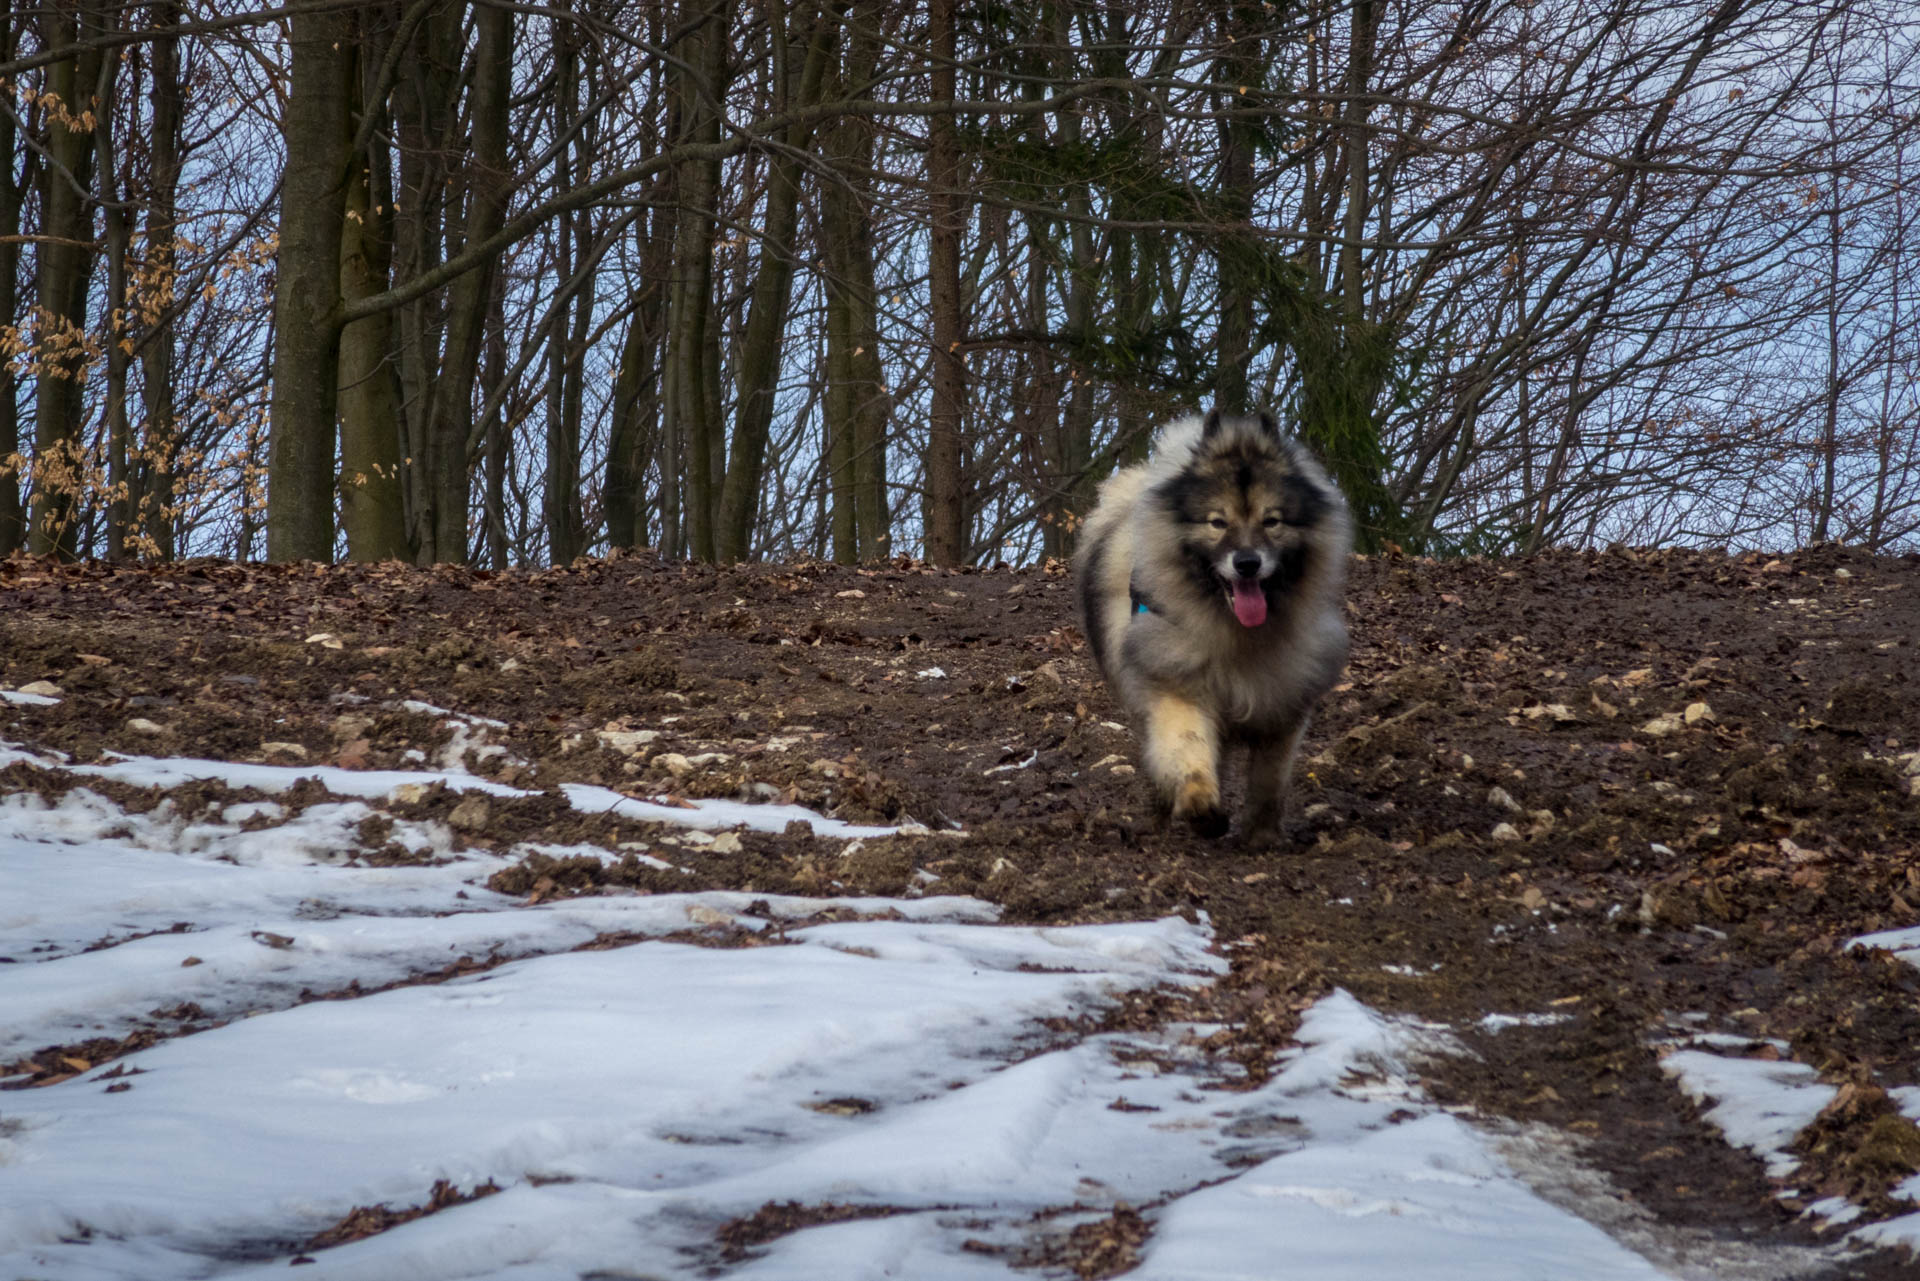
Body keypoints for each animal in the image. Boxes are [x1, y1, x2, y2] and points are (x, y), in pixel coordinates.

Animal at [1082, 409, 1351, 841]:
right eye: (1217, 522)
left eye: (1271, 521)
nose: (1247, 563)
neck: (1236, 634)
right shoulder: (1179, 683)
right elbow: (1187, 748)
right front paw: (1199, 805)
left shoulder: (1285, 702)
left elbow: (1269, 780)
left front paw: (1261, 836)